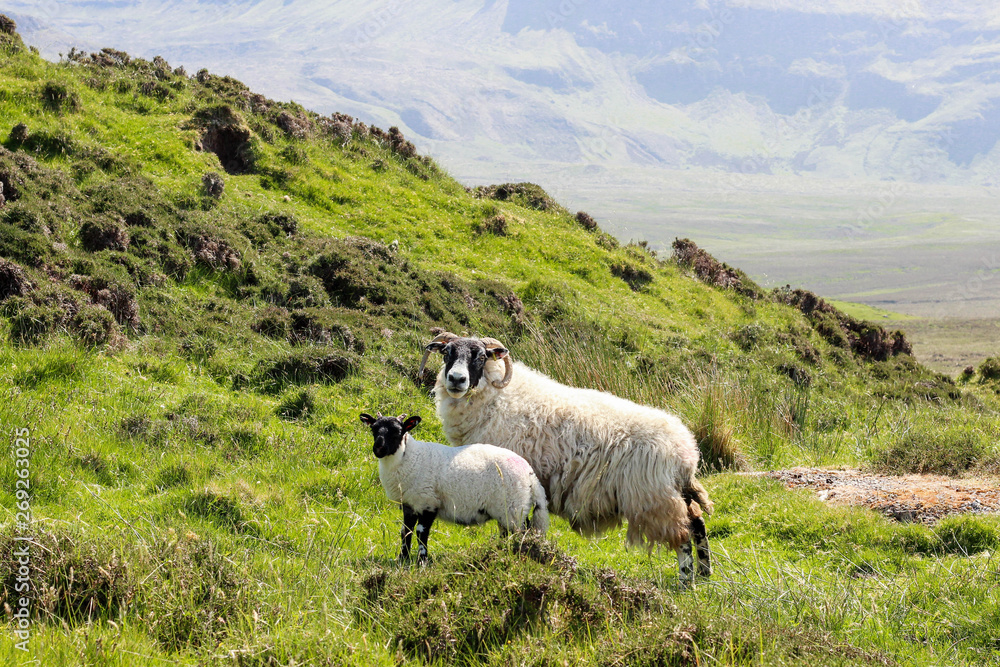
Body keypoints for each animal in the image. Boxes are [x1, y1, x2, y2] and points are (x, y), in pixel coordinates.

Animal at [360, 412, 549, 562]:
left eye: (398, 432)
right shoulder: (409, 504)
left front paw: (422, 561)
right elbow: (405, 532)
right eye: (373, 429)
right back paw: (501, 552)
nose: (379, 448)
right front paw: (402, 559)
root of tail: (530, 475)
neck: (409, 457)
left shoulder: (428, 502)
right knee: (507, 533)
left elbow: (421, 533)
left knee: (522, 533)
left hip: (514, 507)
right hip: (509, 509)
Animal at [417, 332, 713, 584]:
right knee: (697, 521)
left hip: (654, 498)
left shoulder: (509, 481)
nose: (456, 379)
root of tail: (687, 451)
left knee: (683, 534)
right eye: (447, 353)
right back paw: (705, 573)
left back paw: (686, 581)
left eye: (480, 356)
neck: (497, 398)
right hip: (672, 494)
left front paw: (507, 554)